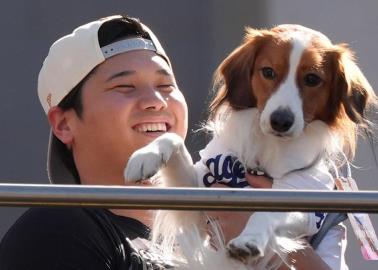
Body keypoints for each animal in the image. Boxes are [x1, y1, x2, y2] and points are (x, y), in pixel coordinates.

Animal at [123, 24, 376, 268]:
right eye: (268, 72)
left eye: (312, 79)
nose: (280, 121)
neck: (270, 149)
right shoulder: (200, 203)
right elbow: (172, 138)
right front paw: (146, 156)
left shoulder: (304, 203)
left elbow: (267, 214)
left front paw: (250, 240)